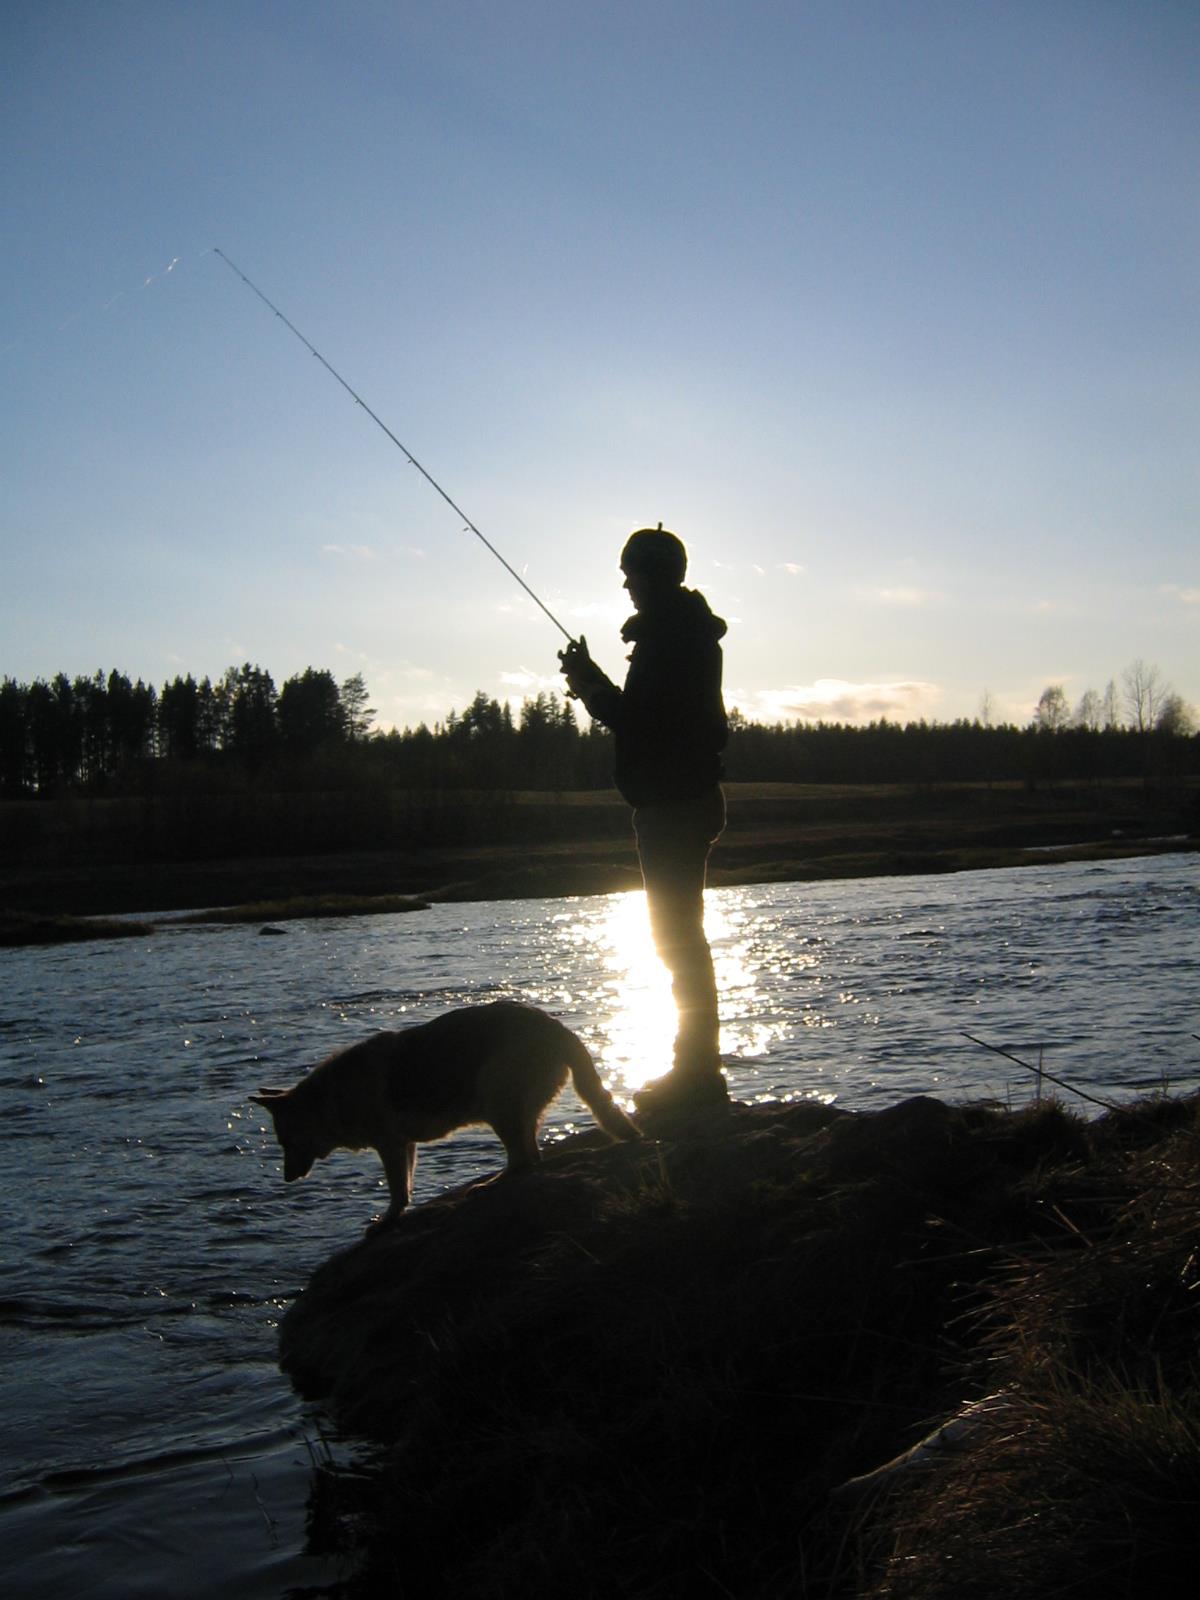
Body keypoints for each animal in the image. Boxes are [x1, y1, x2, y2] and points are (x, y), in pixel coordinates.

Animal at [249, 998, 643, 1222]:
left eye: (285, 1141)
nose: (286, 1179)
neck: (332, 1097)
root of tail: (555, 1026)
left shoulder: (391, 1146)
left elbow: (397, 1192)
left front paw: (388, 1219)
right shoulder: (404, 1146)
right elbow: (406, 1188)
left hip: (498, 1106)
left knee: (522, 1160)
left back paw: (488, 1185)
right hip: (512, 1112)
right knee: (531, 1158)